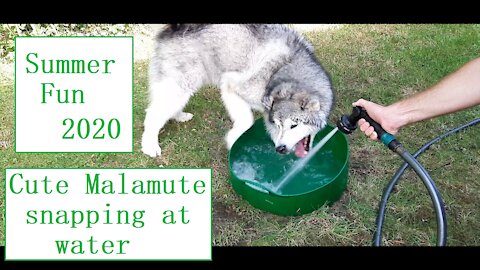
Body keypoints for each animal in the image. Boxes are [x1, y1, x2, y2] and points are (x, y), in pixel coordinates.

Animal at [141, 24, 332, 158]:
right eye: (279, 124)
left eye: (294, 125)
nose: (281, 149)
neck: (282, 69)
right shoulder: (231, 85)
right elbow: (246, 120)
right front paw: (233, 138)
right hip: (181, 84)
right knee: (154, 113)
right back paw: (150, 144)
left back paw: (179, 116)